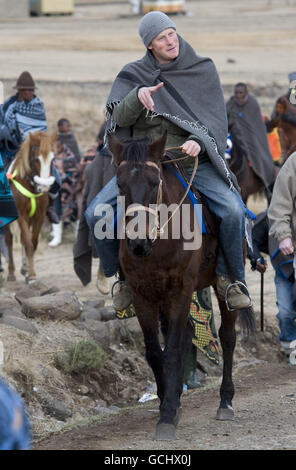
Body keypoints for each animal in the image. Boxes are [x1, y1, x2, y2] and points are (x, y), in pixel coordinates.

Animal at [4, 130, 57, 280]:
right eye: (36, 159)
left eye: (52, 160)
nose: (44, 187)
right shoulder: (21, 216)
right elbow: (27, 243)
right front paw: (32, 275)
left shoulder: (39, 216)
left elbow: (33, 242)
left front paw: (29, 271)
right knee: (9, 240)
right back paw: (11, 273)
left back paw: (24, 268)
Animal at [108, 133, 254, 440]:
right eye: (120, 184)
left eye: (154, 182)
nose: (138, 243)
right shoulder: (144, 294)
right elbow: (155, 352)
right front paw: (169, 403)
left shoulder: (181, 291)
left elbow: (173, 350)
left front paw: (166, 416)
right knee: (187, 334)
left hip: (219, 289)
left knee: (227, 337)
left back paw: (225, 401)